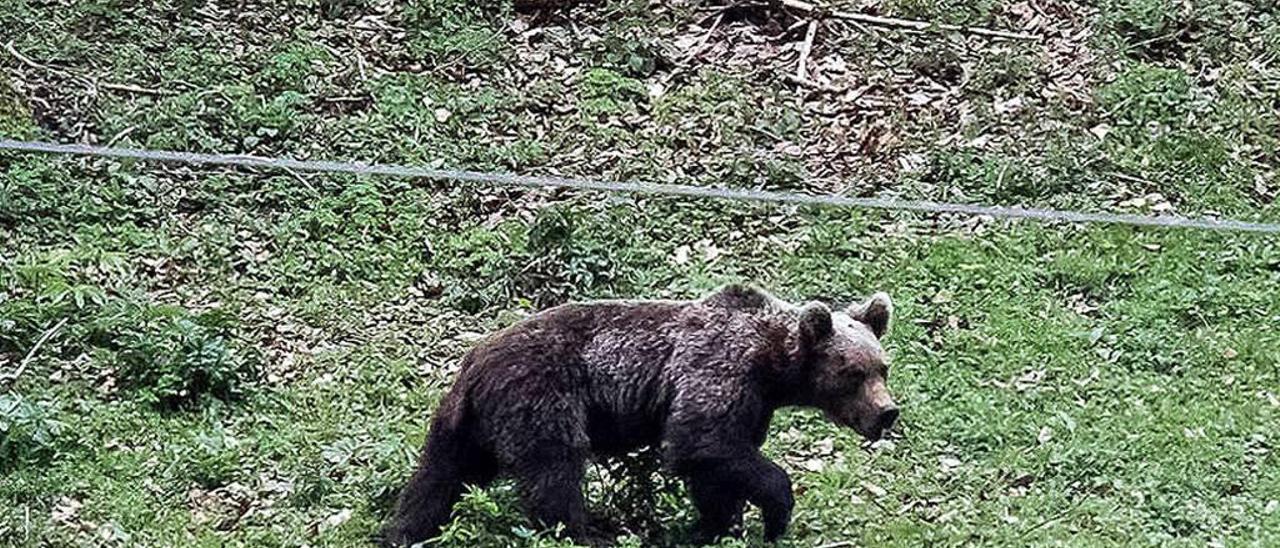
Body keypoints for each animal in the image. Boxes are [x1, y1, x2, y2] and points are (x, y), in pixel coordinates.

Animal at [384, 284, 896, 545]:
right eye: (853, 372)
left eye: (882, 366)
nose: (887, 412)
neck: (771, 364)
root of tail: (473, 361)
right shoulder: (716, 370)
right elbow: (700, 442)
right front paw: (774, 513)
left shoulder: (751, 403)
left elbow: (717, 465)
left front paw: (714, 527)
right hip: (541, 396)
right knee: (554, 471)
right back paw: (586, 534)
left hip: (469, 422)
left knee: (440, 475)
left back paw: (402, 531)